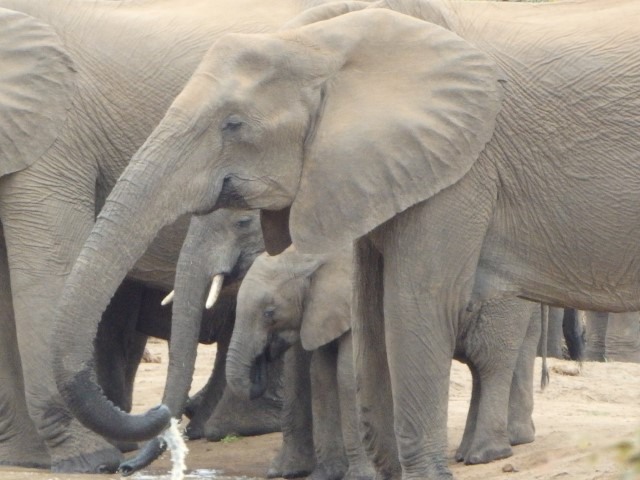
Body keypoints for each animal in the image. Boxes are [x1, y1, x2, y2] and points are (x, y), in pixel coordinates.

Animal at [49, 1, 640, 479]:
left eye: (234, 124)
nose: (131, 457)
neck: (329, 44)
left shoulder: (464, 164)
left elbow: (414, 305)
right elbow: (373, 312)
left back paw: (484, 456)